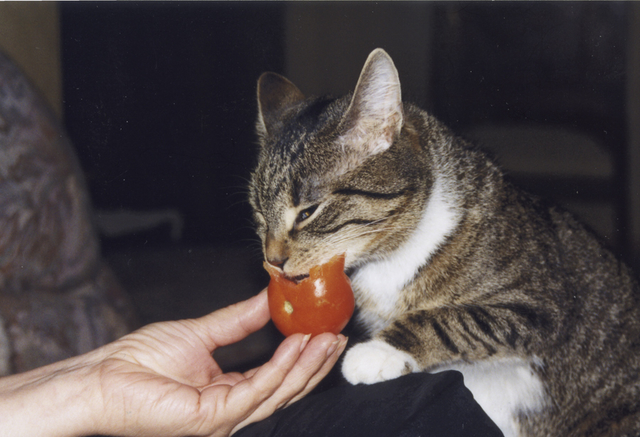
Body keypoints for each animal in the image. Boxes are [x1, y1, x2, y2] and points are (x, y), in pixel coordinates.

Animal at [249, 48, 640, 437]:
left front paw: (378, 352)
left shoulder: (540, 304)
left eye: (308, 211)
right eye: (259, 213)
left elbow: (455, 319)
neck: (392, 255)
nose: (273, 261)